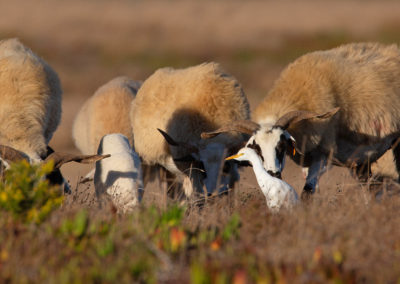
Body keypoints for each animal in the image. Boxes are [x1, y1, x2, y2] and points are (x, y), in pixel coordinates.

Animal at [130, 62, 250, 197]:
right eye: (203, 164)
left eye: (226, 164)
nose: (214, 193)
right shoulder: (190, 167)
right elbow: (197, 196)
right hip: (147, 161)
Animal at [203, 43, 400, 201]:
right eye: (257, 149)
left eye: (281, 146)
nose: (273, 173)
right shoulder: (308, 160)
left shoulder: (323, 156)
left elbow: (307, 192)